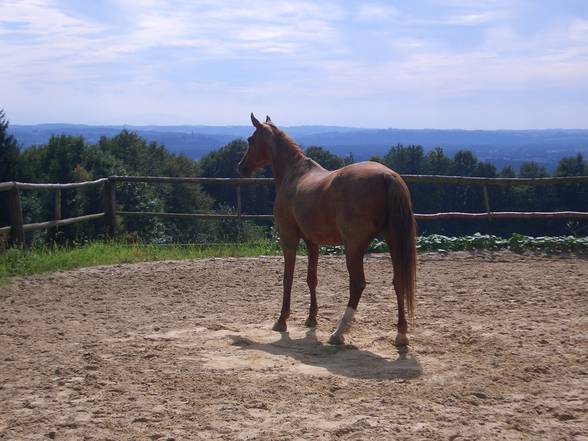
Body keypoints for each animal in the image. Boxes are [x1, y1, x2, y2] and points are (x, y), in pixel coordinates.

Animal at [237, 113, 416, 348]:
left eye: (250, 139)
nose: (240, 167)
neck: (294, 175)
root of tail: (387, 176)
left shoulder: (289, 239)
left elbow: (288, 278)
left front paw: (281, 321)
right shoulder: (313, 242)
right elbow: (311, 278)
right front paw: (311, 319)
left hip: (354, 248)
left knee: (358, 284)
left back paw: (338, 333)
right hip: (393, 242)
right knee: (398, 281)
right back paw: (401, 335)